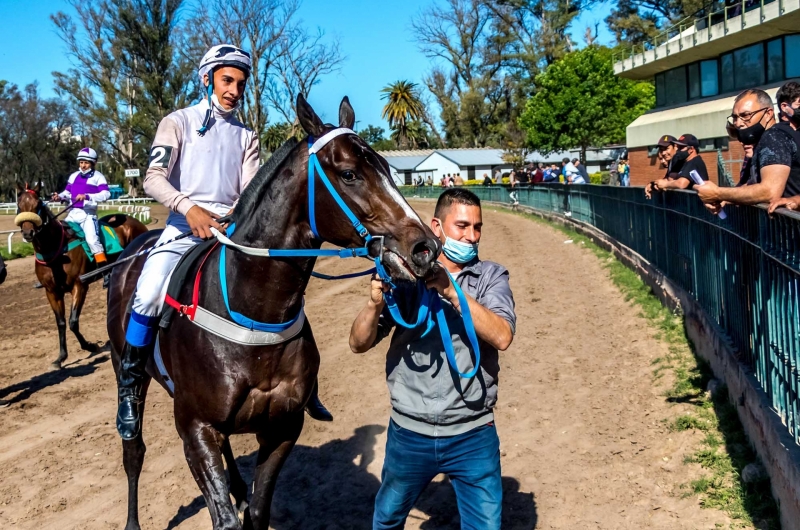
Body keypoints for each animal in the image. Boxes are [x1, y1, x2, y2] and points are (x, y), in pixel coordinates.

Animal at [15, 184, 148, 370]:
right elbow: (61, 323)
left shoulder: (79, 286)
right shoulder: (51, 292)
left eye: (37, 204)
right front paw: (60, 358)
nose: (28, 232)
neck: (57, 250)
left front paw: (90, 346)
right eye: (19, 204)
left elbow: (73, 321)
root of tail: (135, 222)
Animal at [104, 96, 440, 528]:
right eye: (349, 173)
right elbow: (225, 518)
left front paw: (244, 497)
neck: (253, 316)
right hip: (124, 365)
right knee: (134, 449)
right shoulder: (195, 428)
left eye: (384, 165)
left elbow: (258, 510)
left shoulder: (282, 428)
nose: (425, 248)